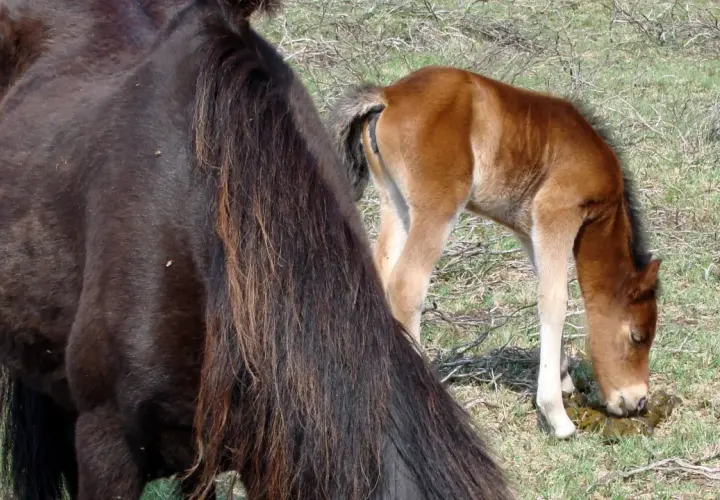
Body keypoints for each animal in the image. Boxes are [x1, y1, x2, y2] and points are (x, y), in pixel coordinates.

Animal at [328, 65, 662, 439]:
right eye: (637, 336)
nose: (637, 401)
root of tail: (389, 94)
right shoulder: (556, 215)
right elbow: (555, 303)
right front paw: (557, 415)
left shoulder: (530, 231)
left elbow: (549, 292)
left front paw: (563, 379)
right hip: (437, 207)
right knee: (407, 285)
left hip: (394, 202)